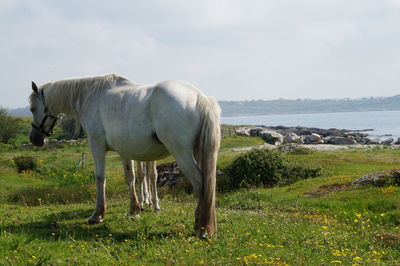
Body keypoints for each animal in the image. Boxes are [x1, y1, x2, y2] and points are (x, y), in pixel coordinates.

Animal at [28, 73, 222, 237]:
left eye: (32, 108)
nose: (34, 139)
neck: (91, 96)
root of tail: (199, 97)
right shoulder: (124, 151)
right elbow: (130, 178)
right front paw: (134, 210)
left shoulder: (96, 145)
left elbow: (100, 178)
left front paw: (97, 215)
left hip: (182, 154)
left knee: (200, 184)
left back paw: (202, 227)